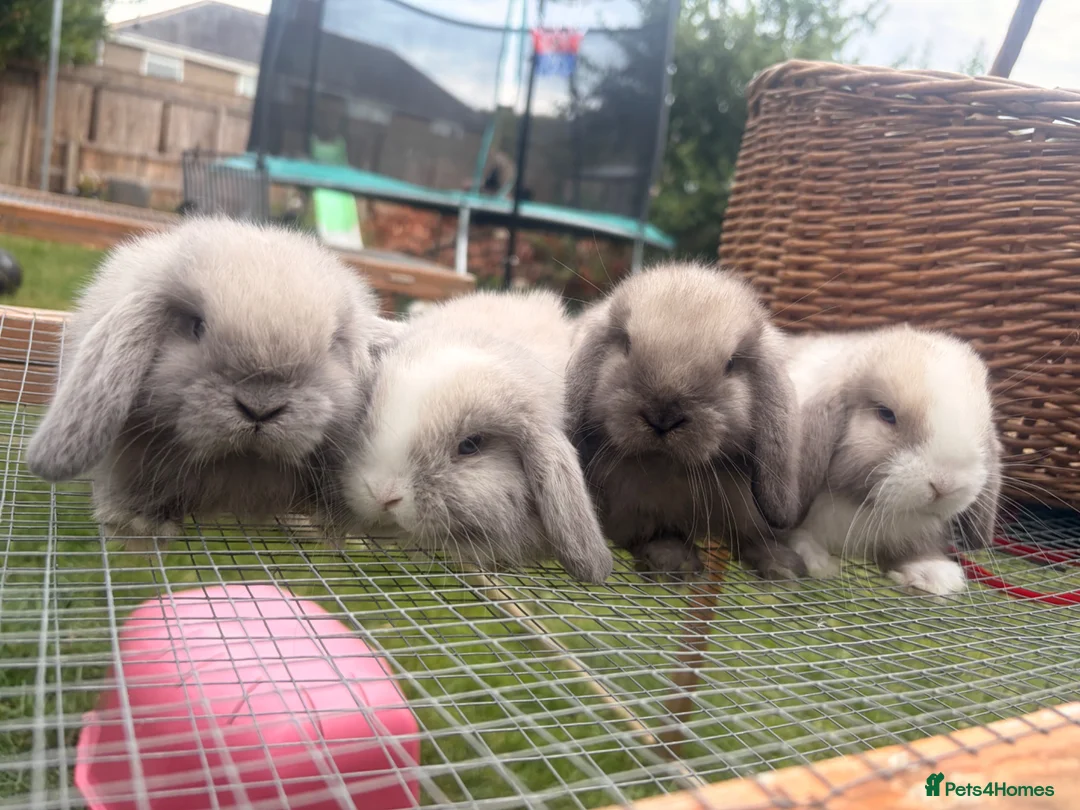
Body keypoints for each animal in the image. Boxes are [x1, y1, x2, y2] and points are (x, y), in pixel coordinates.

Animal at [26, 216, 400, 542]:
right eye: (196, 327)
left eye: (332, 344)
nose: (260, 409)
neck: (240, 464)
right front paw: (139, 526)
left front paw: (324, 523)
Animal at [565, 261, 805, 582]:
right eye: (626, 344)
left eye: (731, 364)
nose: (662, 418)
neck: (669, 466)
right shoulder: (633, 508)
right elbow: (655, 533)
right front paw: (672, 561)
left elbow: (754, 536)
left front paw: (783, 566)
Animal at [783, 324, 1003, 596]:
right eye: (886, 414)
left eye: (984, 421)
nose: (945, 485)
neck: (860, 504)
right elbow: (798, 535)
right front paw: (817, 561)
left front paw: (936, 575)